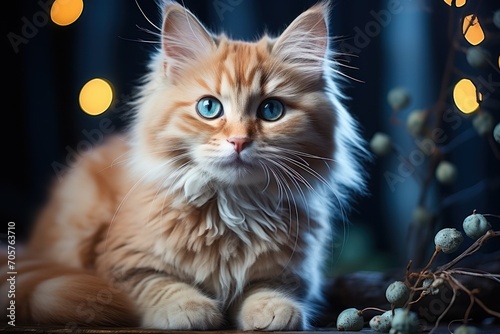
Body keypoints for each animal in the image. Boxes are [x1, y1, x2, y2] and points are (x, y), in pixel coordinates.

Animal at [2, 0, 368, 328]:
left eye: (271, 110)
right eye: (209, 108)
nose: (239, 141)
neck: (230, 209)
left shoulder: (293, 272)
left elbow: (269, 288)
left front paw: (272, 309)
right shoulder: (121, 264)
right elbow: (158, 284)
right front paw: (188, 308)